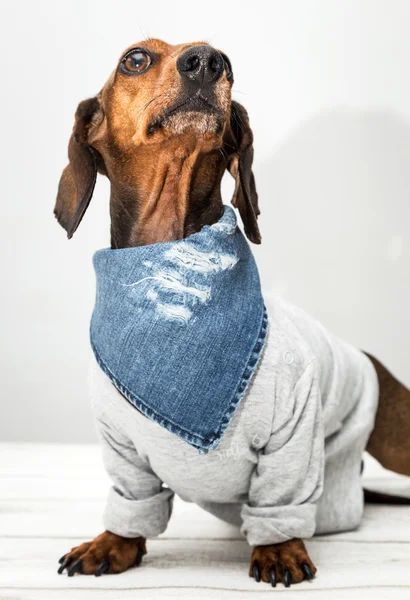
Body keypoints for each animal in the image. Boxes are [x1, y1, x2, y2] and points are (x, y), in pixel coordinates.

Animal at [55, 39, 410, 588]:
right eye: (135, 59)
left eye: (226, 61)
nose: (206, 61)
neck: (176, 265)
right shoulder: (121, 447)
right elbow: (133, 500)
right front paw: (113, 543)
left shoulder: (293, 434)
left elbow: (281, 498)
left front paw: (280, 548)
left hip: (394, 431)